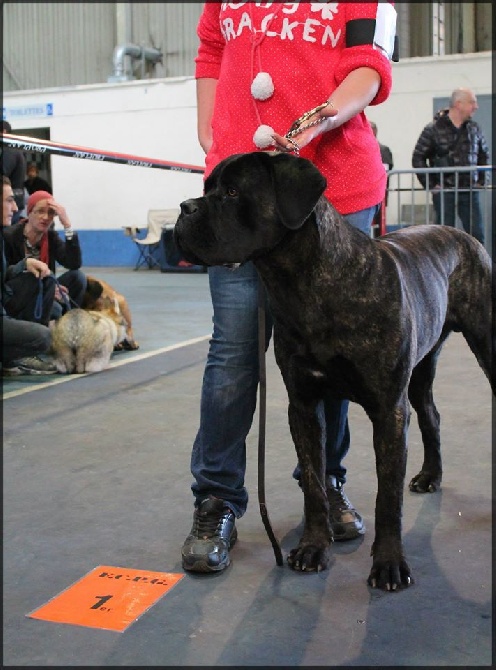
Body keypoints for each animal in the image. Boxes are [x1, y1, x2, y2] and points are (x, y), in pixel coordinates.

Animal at [172, 152, 494, 592]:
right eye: (207, 189)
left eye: (234, 192)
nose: (185, 208)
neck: (305, 284)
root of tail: (463, 234)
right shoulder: (304, 405)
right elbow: (314, 484)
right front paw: (313, 547)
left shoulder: (388, 411)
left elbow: (387, 496)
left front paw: (389, 564)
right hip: (422, 368)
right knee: (431, 415)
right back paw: (430, 476)